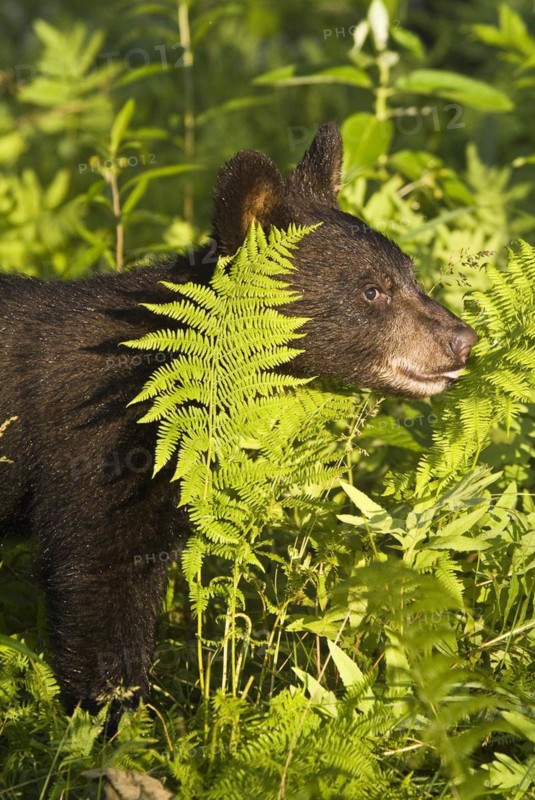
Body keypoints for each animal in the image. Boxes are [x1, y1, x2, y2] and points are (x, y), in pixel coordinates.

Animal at [0, 123, 477, 724]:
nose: (462, 340)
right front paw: (119, 719)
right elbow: (97, 581)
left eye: (411, 275)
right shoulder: (93, 456)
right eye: (372, 289)